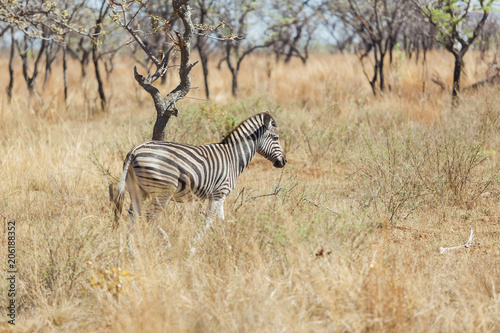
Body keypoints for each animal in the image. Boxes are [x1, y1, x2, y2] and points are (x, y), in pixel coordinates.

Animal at [112, 110, 288, 250]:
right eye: (276, 137)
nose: (284, 162)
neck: (233, 157)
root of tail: (134, 150)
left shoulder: (218, 195)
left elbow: (221, 220)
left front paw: (227, 245)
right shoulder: (219, 193)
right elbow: (209, 220)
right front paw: (194, 247)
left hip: (137, 189)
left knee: (133, 215)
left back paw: (130, 250)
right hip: (163, 191)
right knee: (151, 216)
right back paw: (167, 244)